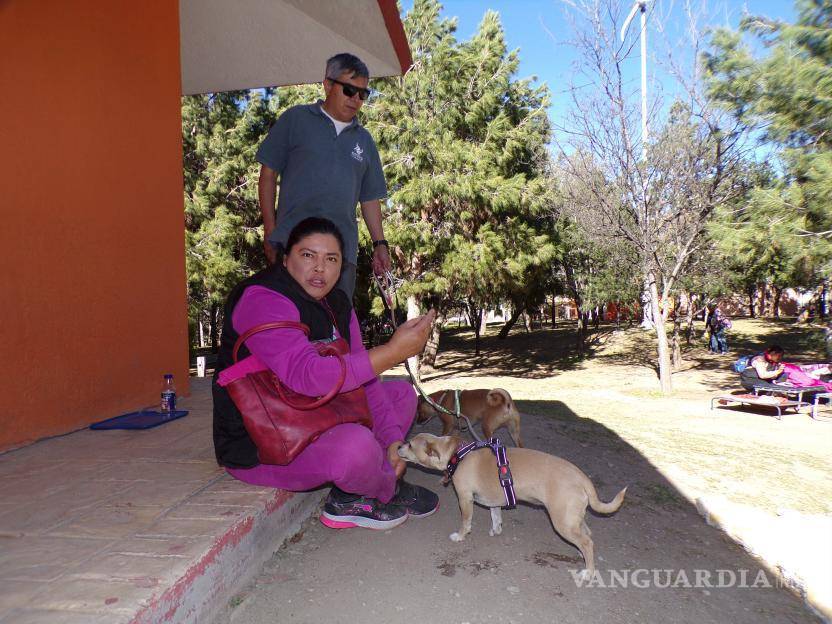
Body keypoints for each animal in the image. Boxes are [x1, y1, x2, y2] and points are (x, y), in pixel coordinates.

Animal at [396, 434, 624, 576]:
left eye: (410, 444)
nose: (397, 446)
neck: (456, 454)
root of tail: (581, 476)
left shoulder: (464, 499)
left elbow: (466, 522)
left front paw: (460, 536)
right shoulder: (494, 501)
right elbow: (496, 516)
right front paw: (496, 530)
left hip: (562, 523)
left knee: (587, 542)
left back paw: (588, 572)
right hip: (572, 519)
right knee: (588, 537)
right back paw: (581, 555)